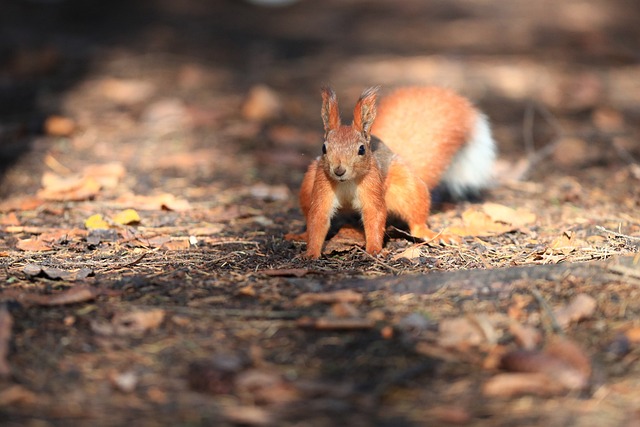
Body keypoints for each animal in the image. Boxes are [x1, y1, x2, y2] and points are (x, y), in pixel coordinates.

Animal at [298, 86, 498, 260]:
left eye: (361, 150)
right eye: (324, 148)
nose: (339, 170)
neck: (346, 182)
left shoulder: (372, 186)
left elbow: (375, 216)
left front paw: (375, 249)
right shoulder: (322, 183)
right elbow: (318, 217)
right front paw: (311, 253)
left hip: (408, 187)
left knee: (416, 220)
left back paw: (431, 233)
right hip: (308, 184)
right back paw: (300, 235)